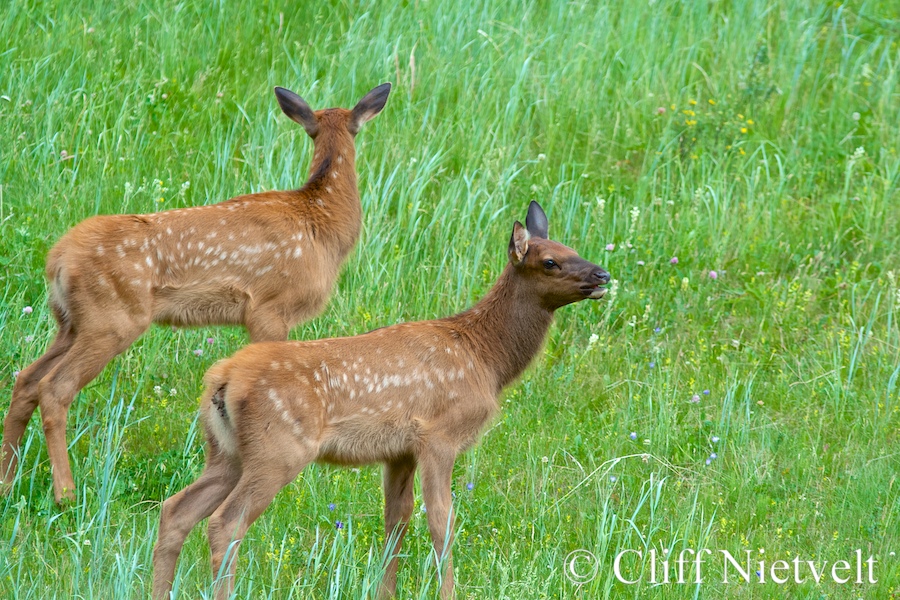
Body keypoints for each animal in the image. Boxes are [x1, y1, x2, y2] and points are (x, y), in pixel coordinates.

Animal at [0, 83, 392, 504]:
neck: (319, 224)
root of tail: (57, 259)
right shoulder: (269, 309)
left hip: (70, 322)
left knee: (26, 380)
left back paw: (8, 483)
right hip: (111, 320)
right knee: (55, 388)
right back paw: (66, 494)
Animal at [151, 201, 610, 600]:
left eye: (574, 249)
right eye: (549, 261)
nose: (603, 275)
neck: (484, 357)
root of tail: (222, 378)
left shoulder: (399, 451)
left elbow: (396, 521)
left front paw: (384, 593)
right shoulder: (440, 436)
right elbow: (441, 521)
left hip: (226, 451)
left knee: (176, 510)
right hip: (277, 448)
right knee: (225, 522)